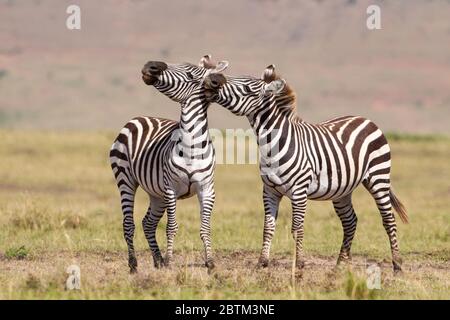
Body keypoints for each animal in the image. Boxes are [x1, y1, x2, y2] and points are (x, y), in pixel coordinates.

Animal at [109, 55, 229, 272]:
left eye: (189, 74)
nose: (150, 65)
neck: (192, 147)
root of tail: (138, 117)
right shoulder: (171, 188)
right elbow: (171, 227)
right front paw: (171, 262)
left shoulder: (207, 189)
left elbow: (205, 227)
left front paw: (210, 262)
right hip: (125, 178)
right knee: (128, 224)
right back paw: (134, 265)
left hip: (156, 193)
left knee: (148, 223)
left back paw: (158, 260)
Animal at [209, 65, 410, 272]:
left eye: (248, 88)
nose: (214, 81)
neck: (273, 145)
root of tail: (366, 120)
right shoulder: (270, 191)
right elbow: (268, 227)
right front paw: (262, 262)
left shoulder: (299, 191)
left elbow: (297, 228)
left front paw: (299, 264)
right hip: (342, 190)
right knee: (350, 221)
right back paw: (340, 264)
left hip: (378, 177)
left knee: (388, 219)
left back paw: (397, 264)